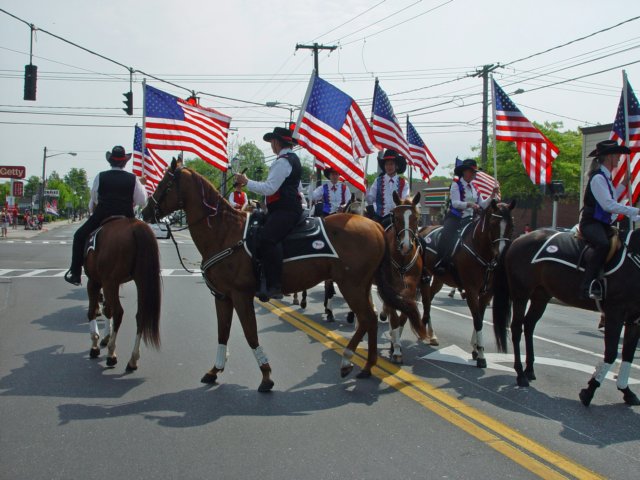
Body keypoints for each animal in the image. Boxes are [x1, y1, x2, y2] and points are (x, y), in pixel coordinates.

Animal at [84, 218, 162, 372]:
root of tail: (136, 226)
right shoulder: (108, 284)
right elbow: (107, 310)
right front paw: (105, 337)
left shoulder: (95, 282)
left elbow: (93, 311)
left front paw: (95, 344)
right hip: (140, 279)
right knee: (140, 316)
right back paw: (133, 360)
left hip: (110, 281)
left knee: (119, 312)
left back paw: (111, 354)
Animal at [140, 159, 424, 392]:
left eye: (165, 182)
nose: (145, 212)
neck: (225, 232)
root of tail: (375, 226)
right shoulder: (222, 297)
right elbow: (223, 333)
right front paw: (214, 370)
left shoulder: (241, 296)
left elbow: (250, 333)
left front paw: (266, 376)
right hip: (361, 286)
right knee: (372, 320)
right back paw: (365, 367)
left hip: (351, 285)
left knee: (367, 319)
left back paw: (347, 361)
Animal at [420, 200, 516, 368]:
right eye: (493, 224)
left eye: (511, 225)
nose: (501, 255)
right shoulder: (471, 291)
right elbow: (477, 320)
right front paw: (481, 355)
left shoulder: (486, 293)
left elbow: (480, 318)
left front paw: (476, 349)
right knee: (424, 300)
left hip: (438, 279)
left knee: (429, 300)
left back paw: (431, 334)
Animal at [492, 226, 640, 404]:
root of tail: (519, 239)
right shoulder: (615, 313)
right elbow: (611, 353)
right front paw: (589, 391)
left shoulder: (634, 320)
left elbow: (628, 355)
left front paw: (626, 391)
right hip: (521, 294)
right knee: (516, 329)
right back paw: (520, 374)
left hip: (541, 295)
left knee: (528, 325)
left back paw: (529, 369)